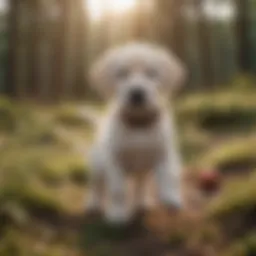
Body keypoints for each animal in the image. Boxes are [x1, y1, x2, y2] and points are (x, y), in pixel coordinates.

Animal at [85, 43, 186, 223]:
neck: (139, 124)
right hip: (97, 165)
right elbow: (118, 190)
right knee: (96, 186)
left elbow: (169, 175)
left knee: (141, 185)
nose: (137, 93)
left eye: (151, 73)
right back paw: (93, 204)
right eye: (122, 74)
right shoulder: (115, 161)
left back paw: (142, 203)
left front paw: (171, 199)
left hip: (142, 170)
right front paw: (117, 214)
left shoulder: (165, 153)